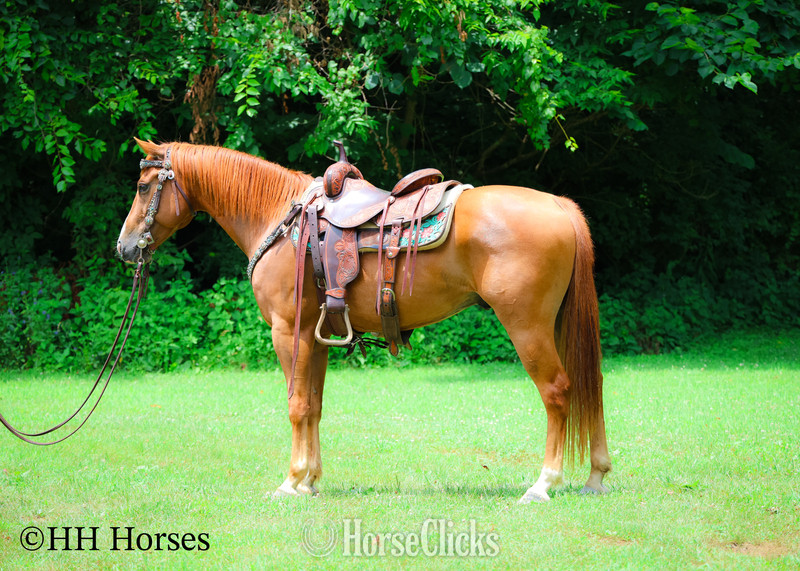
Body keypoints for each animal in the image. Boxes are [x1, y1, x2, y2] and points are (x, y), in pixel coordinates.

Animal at [116, 139, 612, 503]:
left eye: (142, 186)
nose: (124, 247)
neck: (280, 219)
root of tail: (557, 205)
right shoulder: (315, 337)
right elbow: (314, 406)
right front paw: (310, 480)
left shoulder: (288, 332)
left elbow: (296, 405)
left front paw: (291, 481)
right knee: (591, 384)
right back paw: (596, 476)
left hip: (527, 325)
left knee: (558, 391)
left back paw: (544, 484)